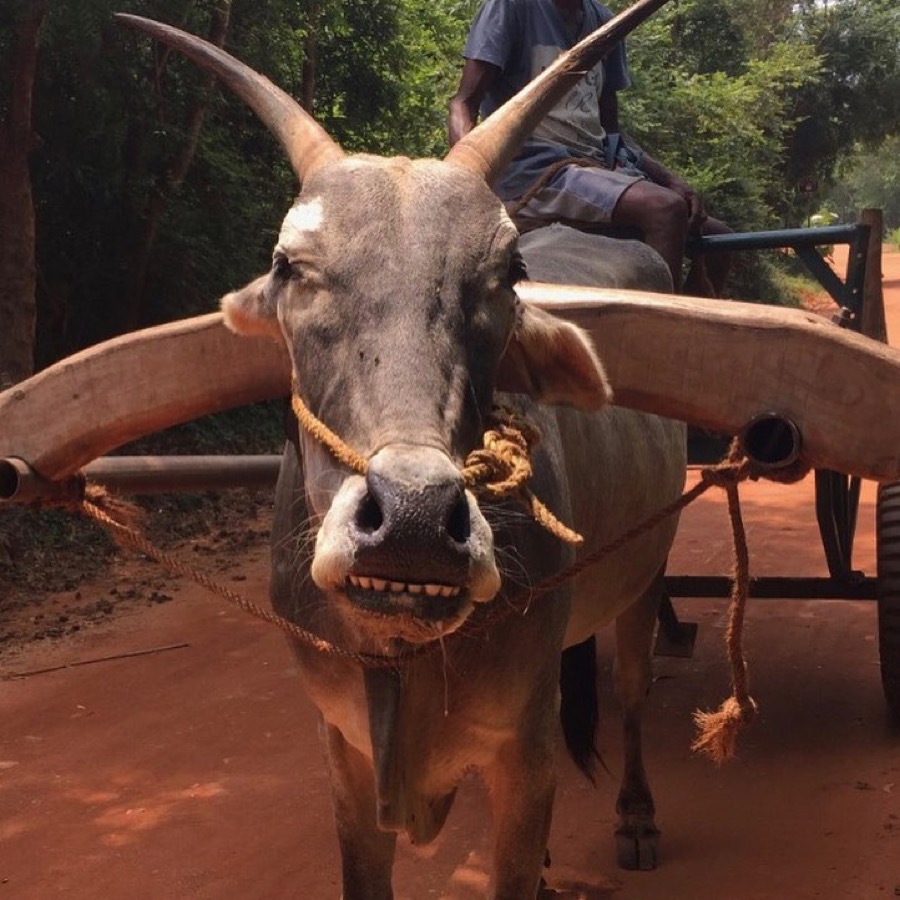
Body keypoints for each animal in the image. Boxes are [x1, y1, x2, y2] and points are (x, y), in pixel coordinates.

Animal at [119, 1, 685, 896]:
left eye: (508, 271)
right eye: (289, 265)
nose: (414, 518)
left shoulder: (525, 749)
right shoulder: (345, 755)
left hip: (644, 575)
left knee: (632, 690)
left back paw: (635, 814)